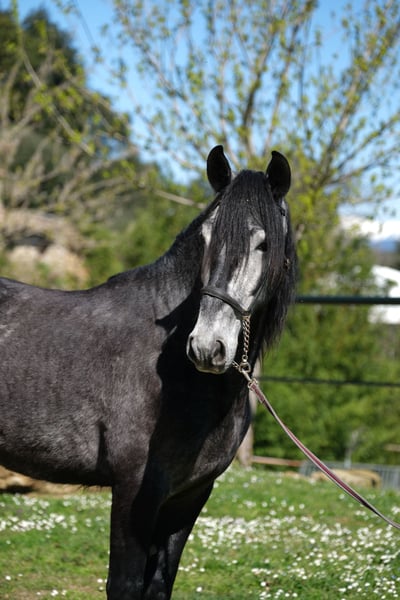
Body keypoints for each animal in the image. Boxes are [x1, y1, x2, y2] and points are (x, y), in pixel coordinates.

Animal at [0, 145, 296, 599]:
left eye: (263, 243)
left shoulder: (189, 495)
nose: (207, 346)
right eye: (206, 238)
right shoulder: (135, 489)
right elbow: (124, 585)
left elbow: (159, 585)